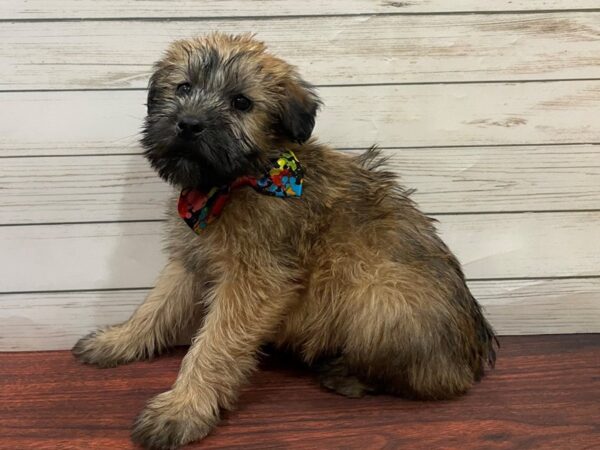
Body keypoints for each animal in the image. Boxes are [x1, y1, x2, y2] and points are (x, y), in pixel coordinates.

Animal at [74, 33, 496, 448]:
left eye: (241, 102)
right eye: (184, 87)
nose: (189, 124)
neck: (237, 182)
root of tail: (473, 360)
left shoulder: (255, 280)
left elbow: (214, 344)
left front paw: (183, 408)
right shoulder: (189, 261)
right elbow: (154, 308)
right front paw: (117, 341)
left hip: (379, 299)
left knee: (424, 380)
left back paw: (345, 375)